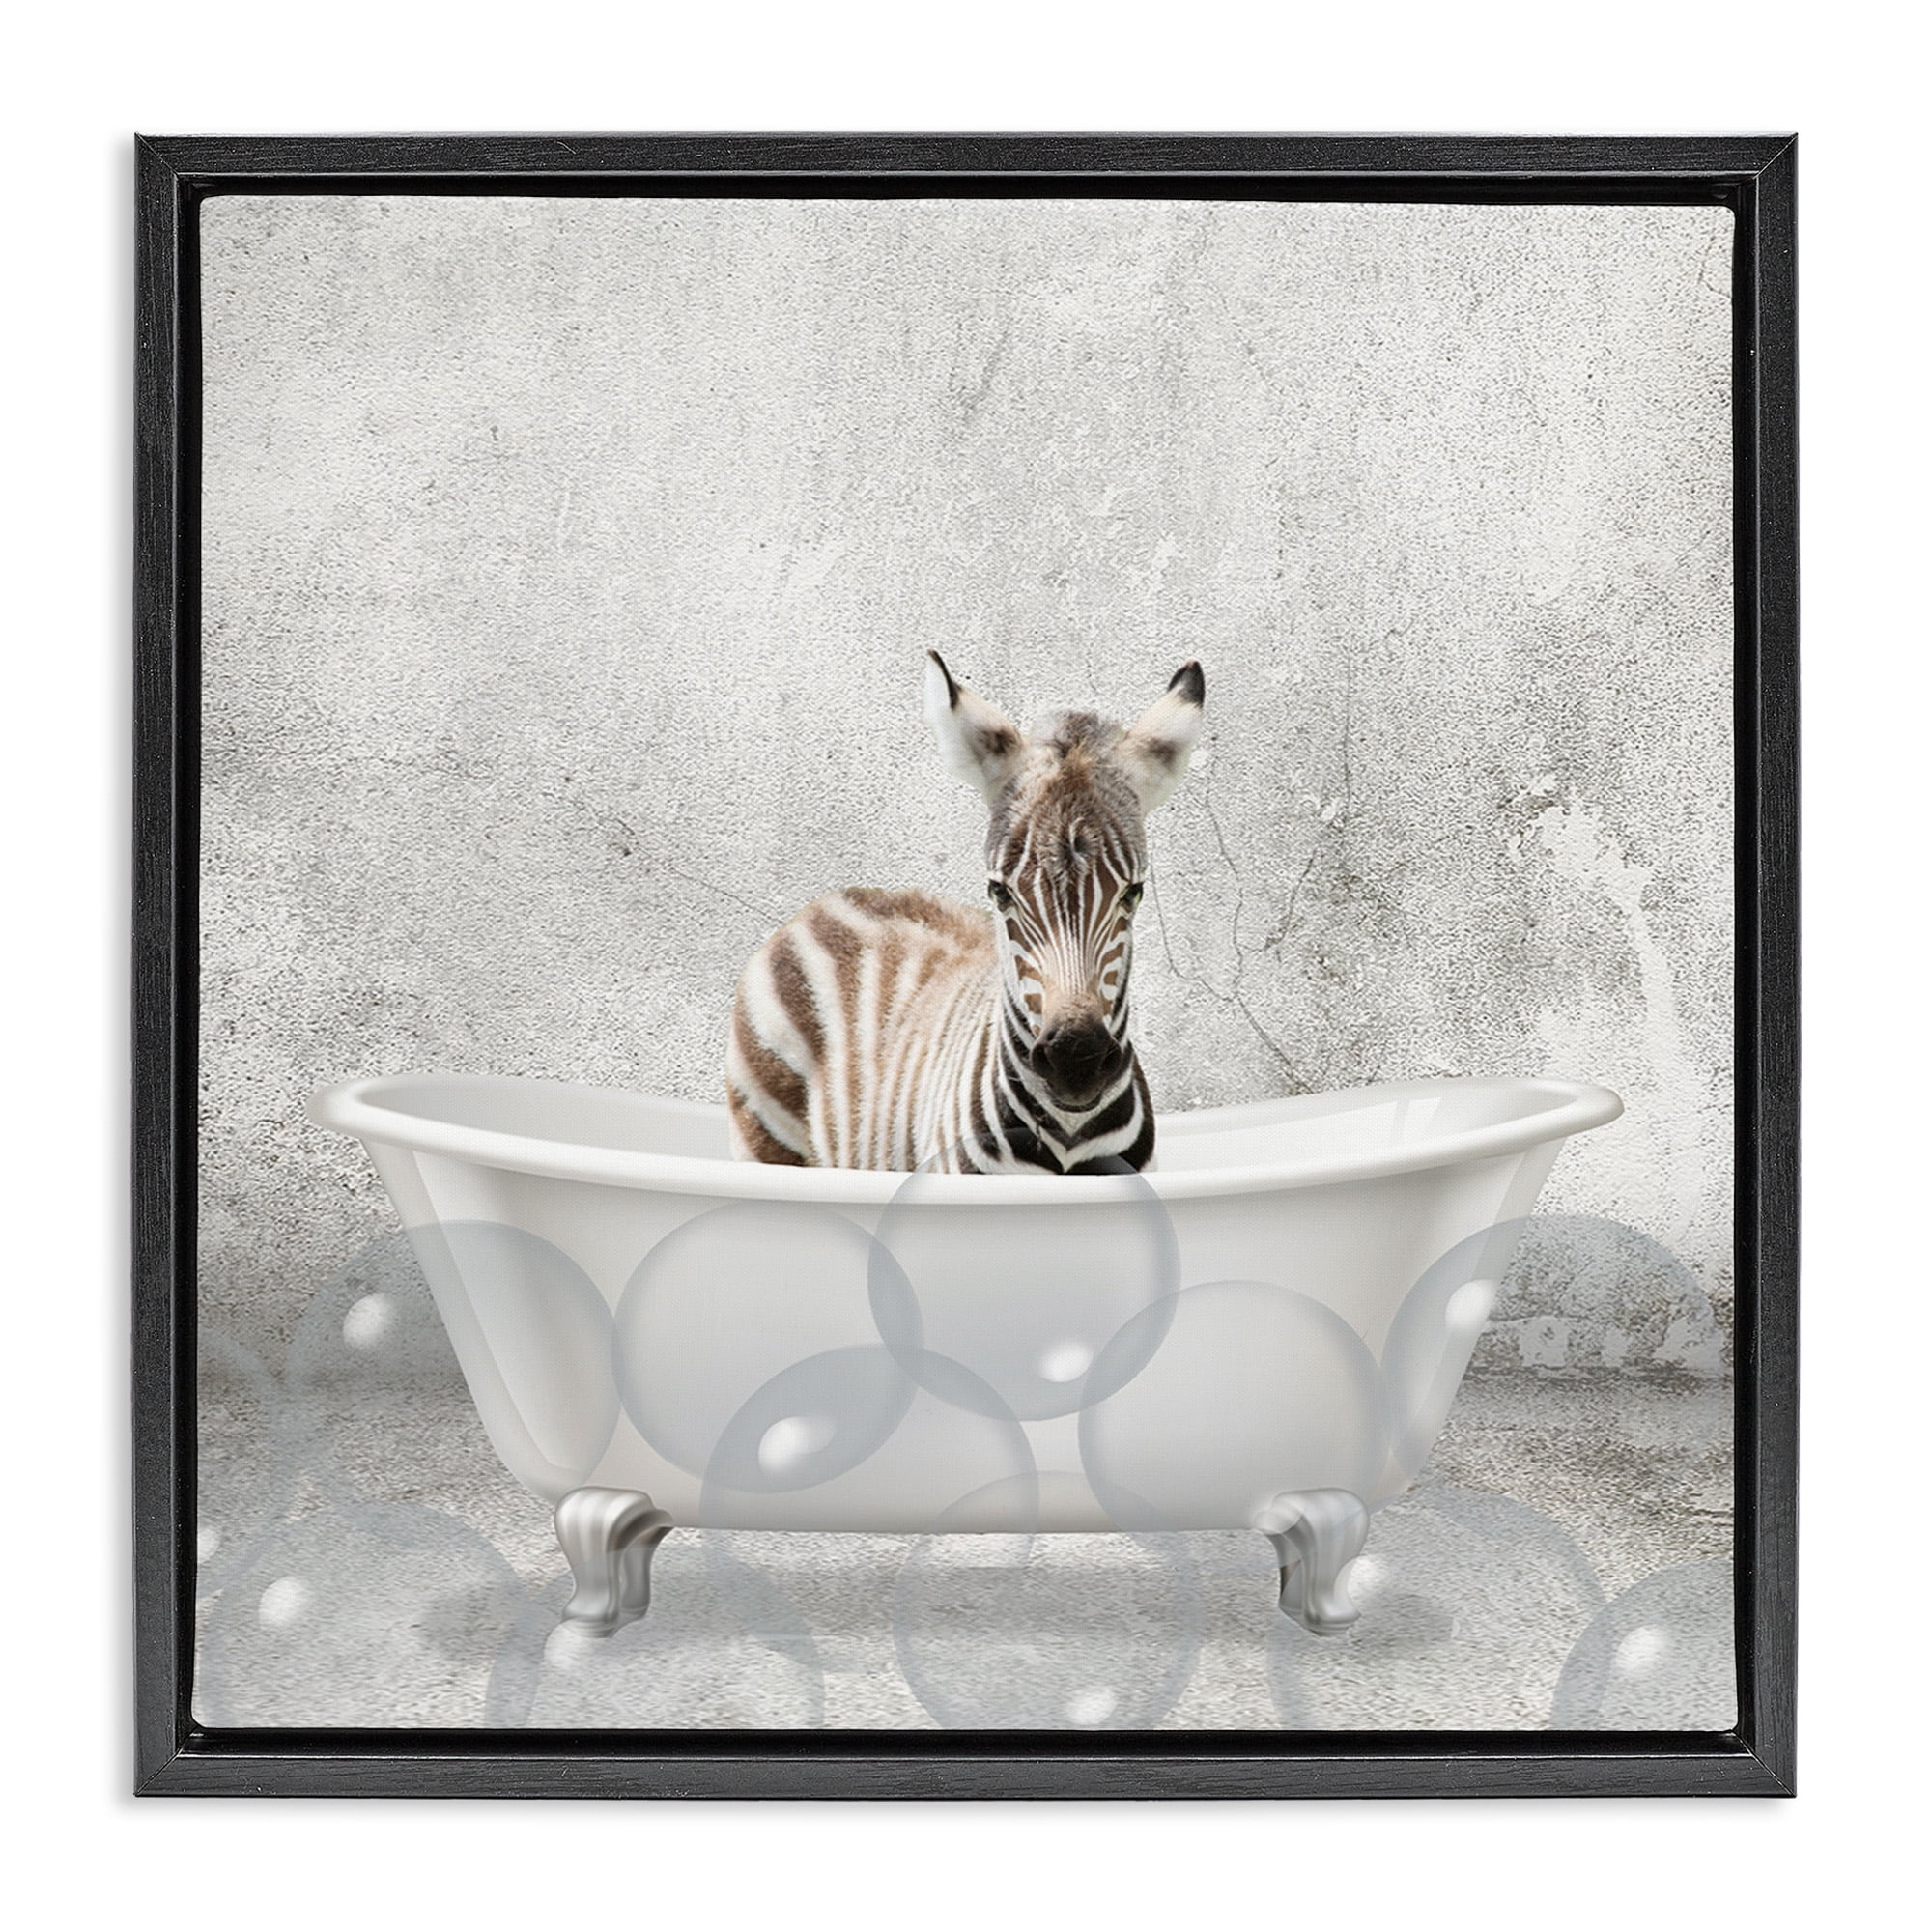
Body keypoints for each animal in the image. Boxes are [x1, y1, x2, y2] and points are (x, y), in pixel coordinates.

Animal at [726, 654, 1204, 1174]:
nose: (1075, 1062)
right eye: (999, 892)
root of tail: (828, 900)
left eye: (1133, 893)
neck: (1068, 1135)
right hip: (767, 1135)